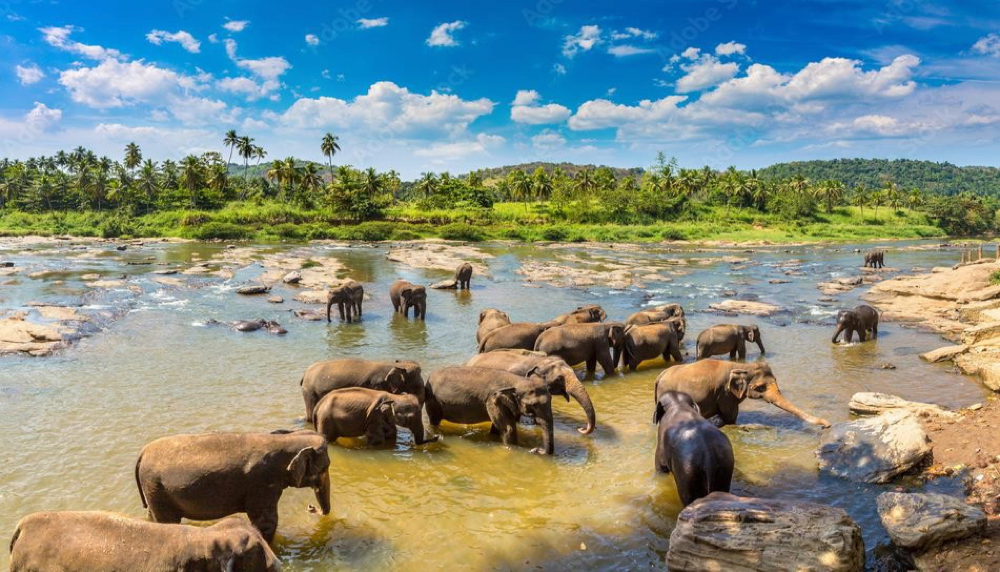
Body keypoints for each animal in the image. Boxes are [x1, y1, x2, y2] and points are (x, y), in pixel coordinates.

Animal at [135, 429, 331, 542]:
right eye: (324, 468)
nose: (311, 508)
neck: (286, 439)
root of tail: (142, 452)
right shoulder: (262, 484)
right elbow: (266, 523)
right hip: (156, 488)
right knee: (167, 521)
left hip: (153, 490)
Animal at [425, 366, 554, 455]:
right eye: (533, 405)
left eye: (551, 398)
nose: (536, 449)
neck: (516, 380)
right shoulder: (493, 401)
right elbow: (508, 429)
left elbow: (497, 428)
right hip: (433, 401)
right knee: (434, 420)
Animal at [654, 359, 830, 428]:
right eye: (760, 387)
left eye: (776, 380)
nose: (827, 424)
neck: (742, 366)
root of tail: (659, 377)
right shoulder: (724, 393)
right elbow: (730, 417)